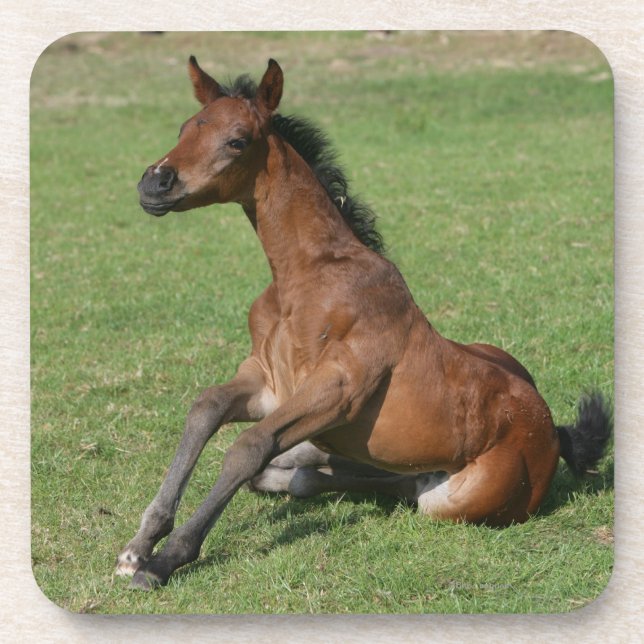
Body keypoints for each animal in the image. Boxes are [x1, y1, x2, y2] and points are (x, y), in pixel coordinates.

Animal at [116, 57, 612, 590]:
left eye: (237, 141)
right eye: (186, 128)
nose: (154, 184)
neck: (305, 277)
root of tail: (550, 429)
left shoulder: (338, 390)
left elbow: (249, 445)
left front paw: (165, 559)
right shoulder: (268, 384)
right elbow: (205, 409)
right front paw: (139, 545)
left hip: (447, 501)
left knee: (391, 484)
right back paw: (297, 467)